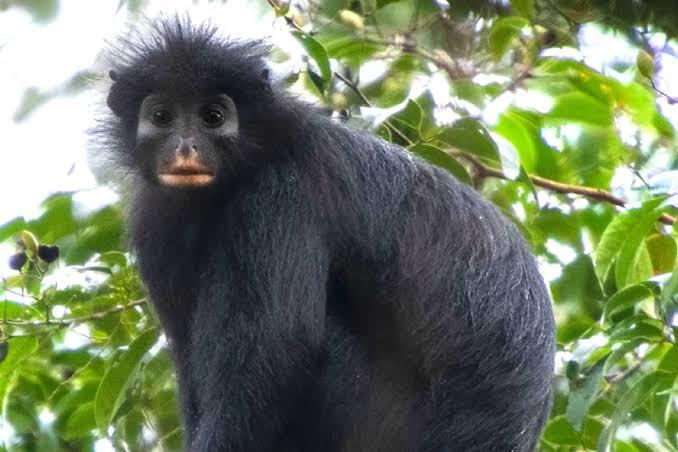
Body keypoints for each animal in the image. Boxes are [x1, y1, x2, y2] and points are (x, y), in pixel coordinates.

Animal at [95, 17, 555, 452]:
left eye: (213, 117)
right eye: (162, 117)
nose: (185, 147)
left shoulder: (280, 194)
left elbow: (277, 349)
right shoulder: (156, 223)